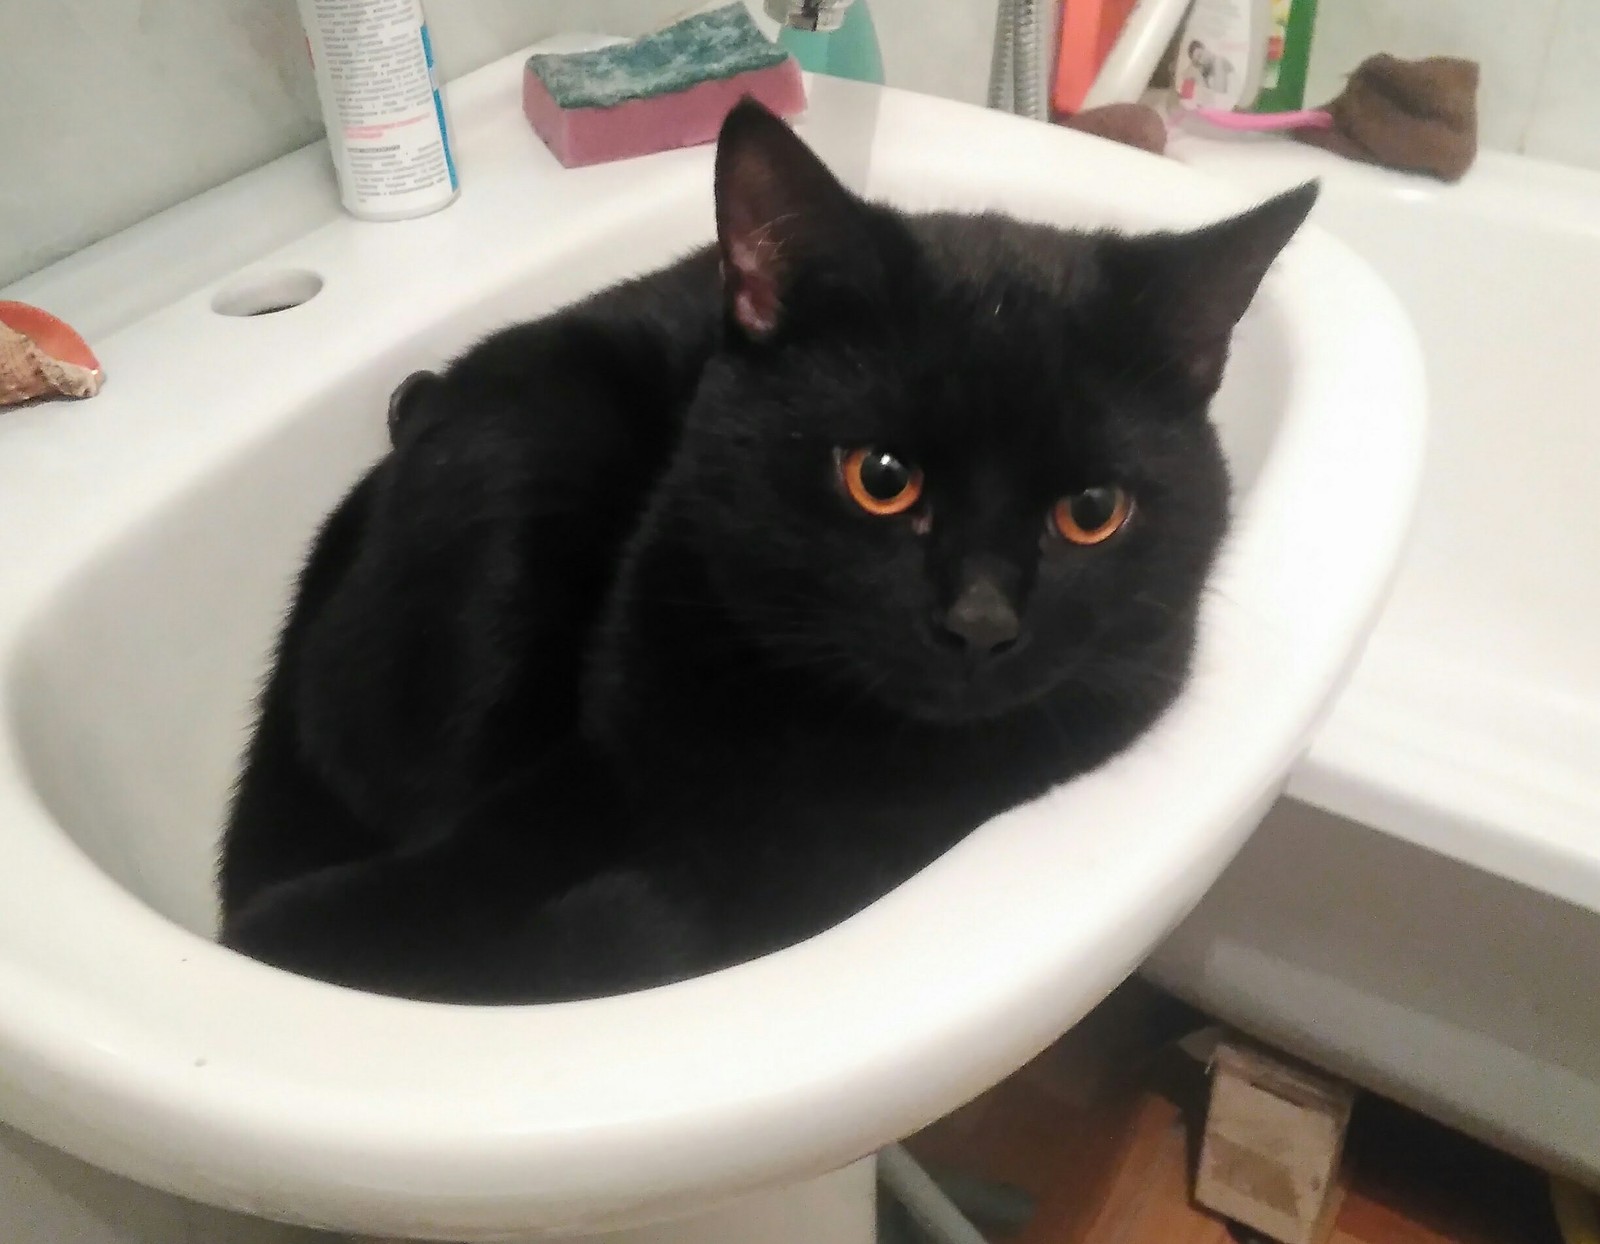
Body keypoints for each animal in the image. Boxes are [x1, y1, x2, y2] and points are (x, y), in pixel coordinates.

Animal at [222, 101, 1312, 1004]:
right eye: (881, 476)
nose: (979, 620)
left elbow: (645, 928)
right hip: (531, 457)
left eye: (1091, 510)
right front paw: (281, 948)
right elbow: (483, 857)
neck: (806, 734)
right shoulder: (601, 749)